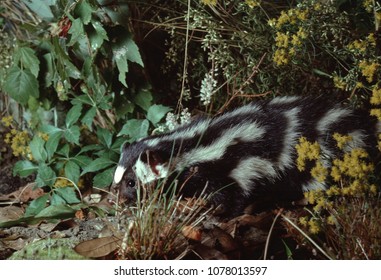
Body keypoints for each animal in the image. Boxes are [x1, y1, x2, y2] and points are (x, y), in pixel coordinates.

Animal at [111, 96, 378, 217]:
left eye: (131, 183)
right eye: (117, 179)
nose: (117, 201)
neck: (194, 145)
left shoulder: (238, 164)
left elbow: (234, 195)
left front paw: (219, 214)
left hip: (315, 159)